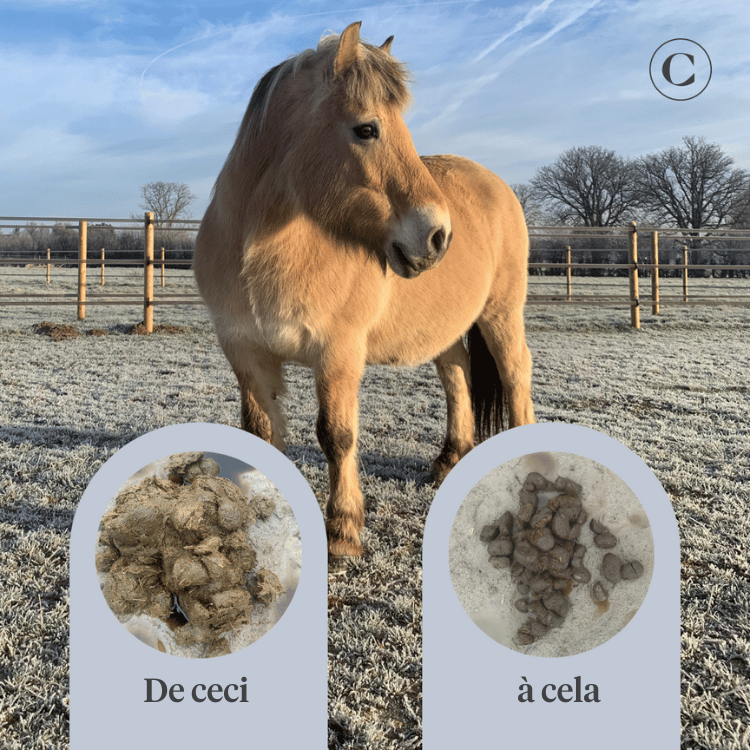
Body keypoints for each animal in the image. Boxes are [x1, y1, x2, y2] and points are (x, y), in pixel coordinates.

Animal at [193, 21, 535, 561]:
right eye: (367, 129)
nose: (438, 237)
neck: (263, 251)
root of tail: (496, 184)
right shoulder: (245, 351)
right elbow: (262, 433)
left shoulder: (338, 352)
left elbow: (337, 435)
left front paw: (344, 531)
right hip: (447, 329)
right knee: (457, 377)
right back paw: (447, 461)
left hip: (501, 314)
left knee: (516, 373)